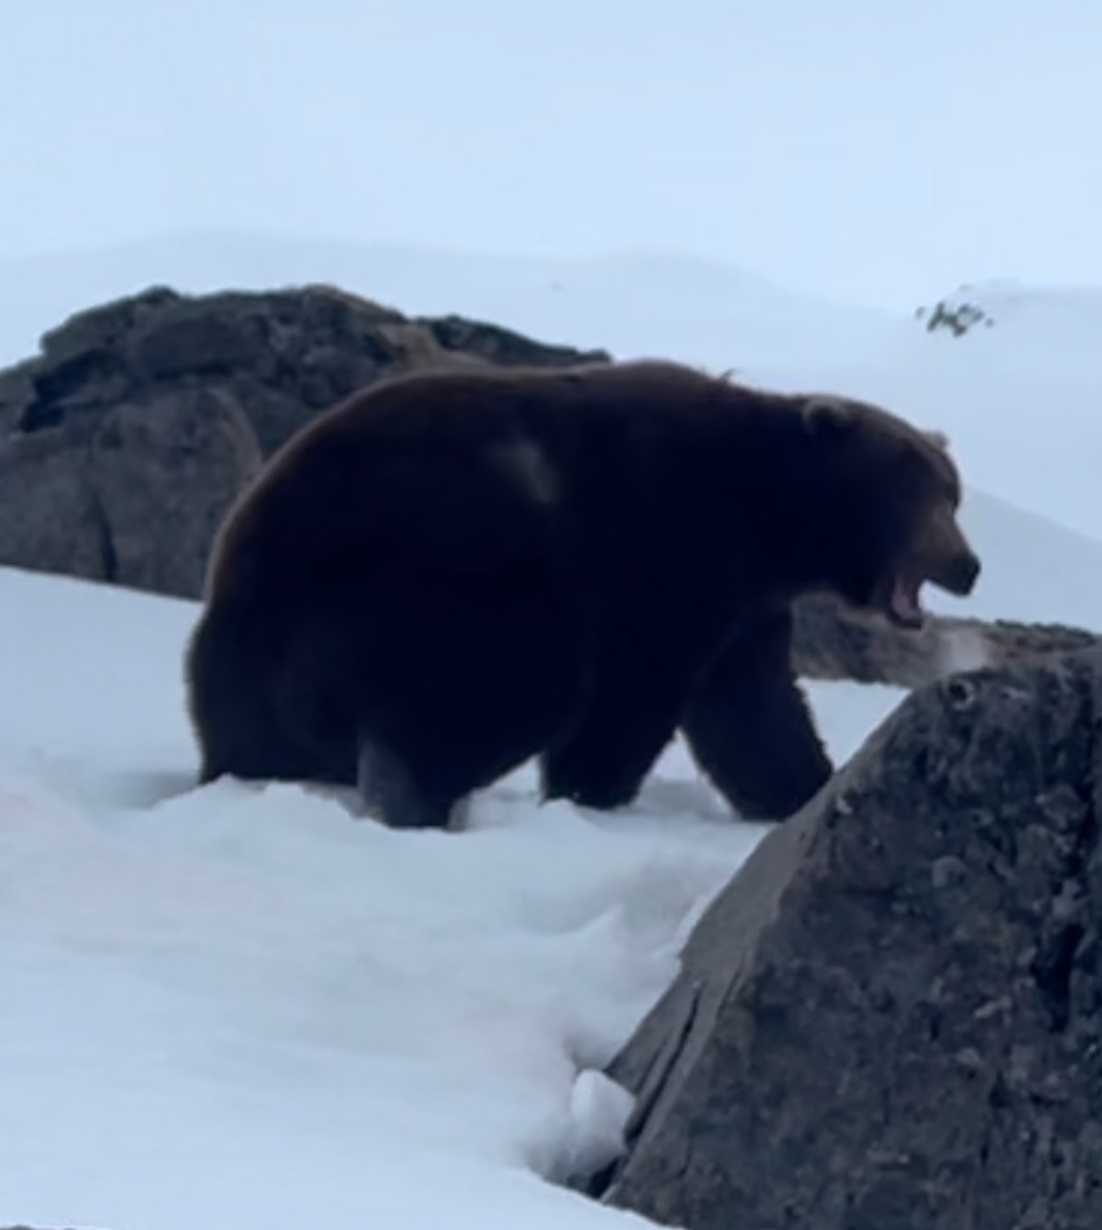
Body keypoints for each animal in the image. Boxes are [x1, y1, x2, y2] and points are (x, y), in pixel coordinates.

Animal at [184, 358, 981, 830]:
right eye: (918, 494)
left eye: (952, 493)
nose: (968, 564)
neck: (768, 511)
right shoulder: (670, 542)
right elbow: (637, 687)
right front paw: (591, 789)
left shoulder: (745, 602)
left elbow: (753, 709)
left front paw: (802, 785)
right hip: (429, 570)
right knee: (504, 685)